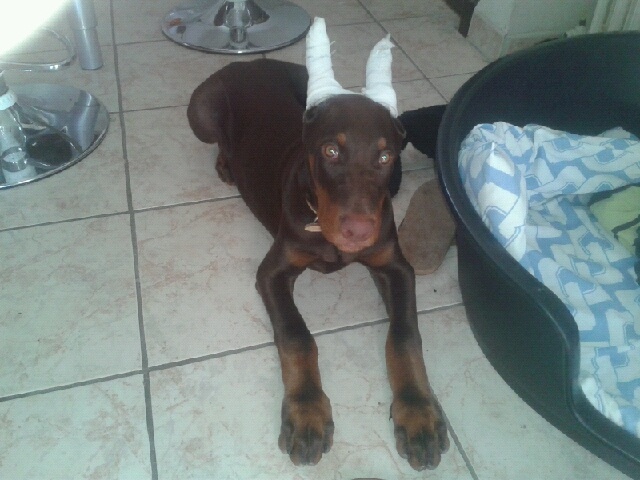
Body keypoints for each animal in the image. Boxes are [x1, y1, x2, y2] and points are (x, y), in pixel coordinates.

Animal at [187, 20, 448, 471]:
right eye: (330, 150)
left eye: (385, 157)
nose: (359, 230)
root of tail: (249, 63)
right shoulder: (273, 271)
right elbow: (297, 336)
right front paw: (306, 413)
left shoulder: (395, 265)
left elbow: (404, 335)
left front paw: (418, 413)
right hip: (200, 111)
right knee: (217, 137)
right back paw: (225, 162)